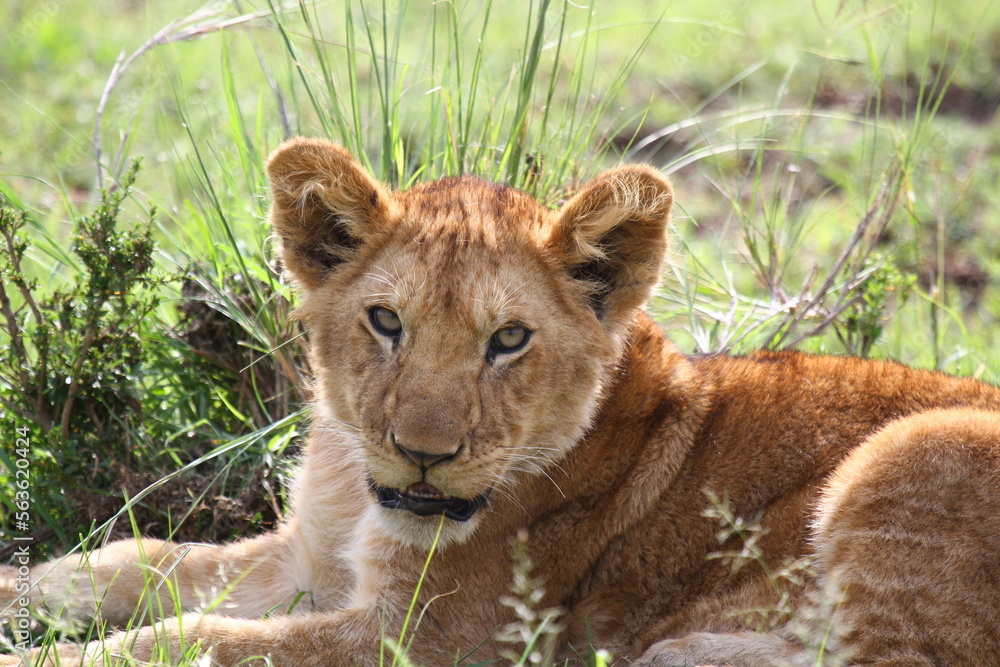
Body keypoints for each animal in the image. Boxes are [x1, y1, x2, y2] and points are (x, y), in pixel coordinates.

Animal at [3, 137, 1000, 666]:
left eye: (509, 339)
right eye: (386, 321)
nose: (424, 453)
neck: (354, 484)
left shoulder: (430, 636)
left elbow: (197, 637)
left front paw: (40, 653)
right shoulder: (308, 558)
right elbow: (148, 562)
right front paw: (25, 593)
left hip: (915, 445)